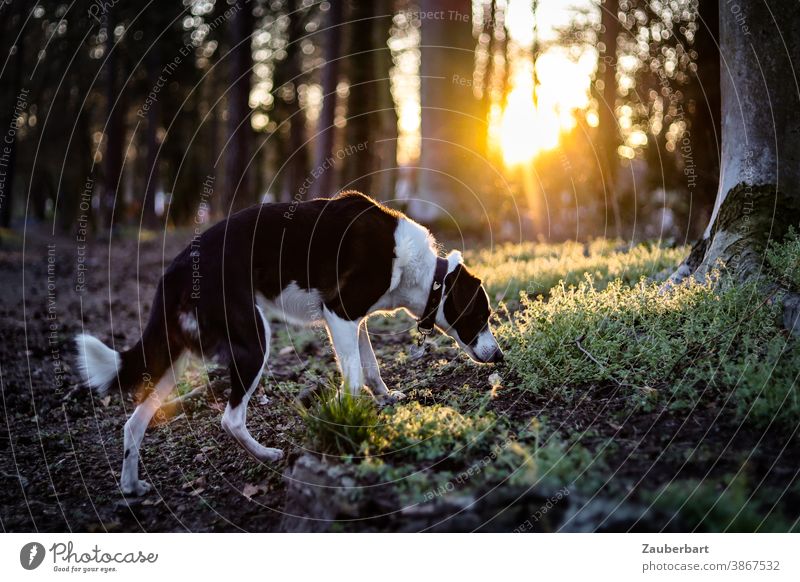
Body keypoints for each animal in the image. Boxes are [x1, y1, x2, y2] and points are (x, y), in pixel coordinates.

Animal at [75, 192, 500, 498]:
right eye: (482, 315)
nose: (498, 355)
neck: (427, 275)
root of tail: (174, 271)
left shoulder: (355, 321)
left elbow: (371, 368)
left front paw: (384, 398)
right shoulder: (338, 313)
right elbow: (353, 378)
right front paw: (341, 422)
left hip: (173, 361)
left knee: (134, 424)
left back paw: (131, 487)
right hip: (254, 340)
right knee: (230, 419)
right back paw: (266, 454)